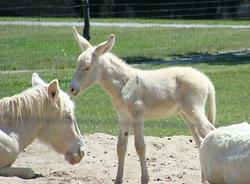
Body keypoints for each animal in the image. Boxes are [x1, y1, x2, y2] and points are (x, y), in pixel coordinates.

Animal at [69, 27, 216, 184]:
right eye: (76, 65)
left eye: (87, 67)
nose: (71, 89)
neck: (123, 84)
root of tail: (206, 79)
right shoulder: (124, 118)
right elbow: (121, 147)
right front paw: (118, 180)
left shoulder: (137, 115)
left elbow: (140, 146)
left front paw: (144, 179)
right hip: (186, 115)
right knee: (201, 142)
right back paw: (204, 180)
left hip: (194, 110)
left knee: (210, 131)